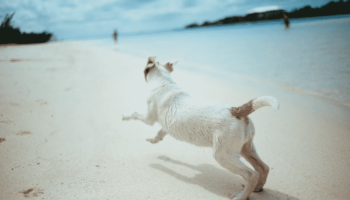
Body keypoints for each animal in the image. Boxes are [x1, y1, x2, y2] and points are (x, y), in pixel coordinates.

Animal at [123, 56, 278, 200]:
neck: (164, 82)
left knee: (251, 174)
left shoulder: (148, 118)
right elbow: (161, 131)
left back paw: (241, 196)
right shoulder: (167, 123)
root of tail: (237, 111)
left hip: (223, 155)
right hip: (246, 148)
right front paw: (153, 139)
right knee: (263, 167)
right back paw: (258, 188)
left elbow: (135, 114)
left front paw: (125, 116)